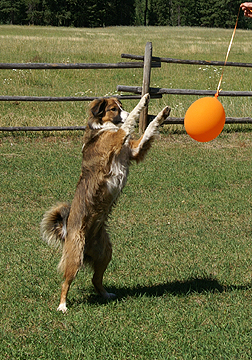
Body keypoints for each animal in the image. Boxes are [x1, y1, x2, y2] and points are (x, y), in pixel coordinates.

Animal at [40, 95, 171, 312]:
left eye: (121, 106)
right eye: (113, 109)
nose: (121, 112)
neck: (104, 127)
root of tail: (66, 231)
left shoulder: (134, 150)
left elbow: (149, 128)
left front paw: (162, 114)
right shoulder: (118, 138)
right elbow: (129, 122)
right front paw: (142, 101)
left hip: (106, 253)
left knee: (95, 280)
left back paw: (106, 295)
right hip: (75, 256)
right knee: (65, 282)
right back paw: (62, 305)